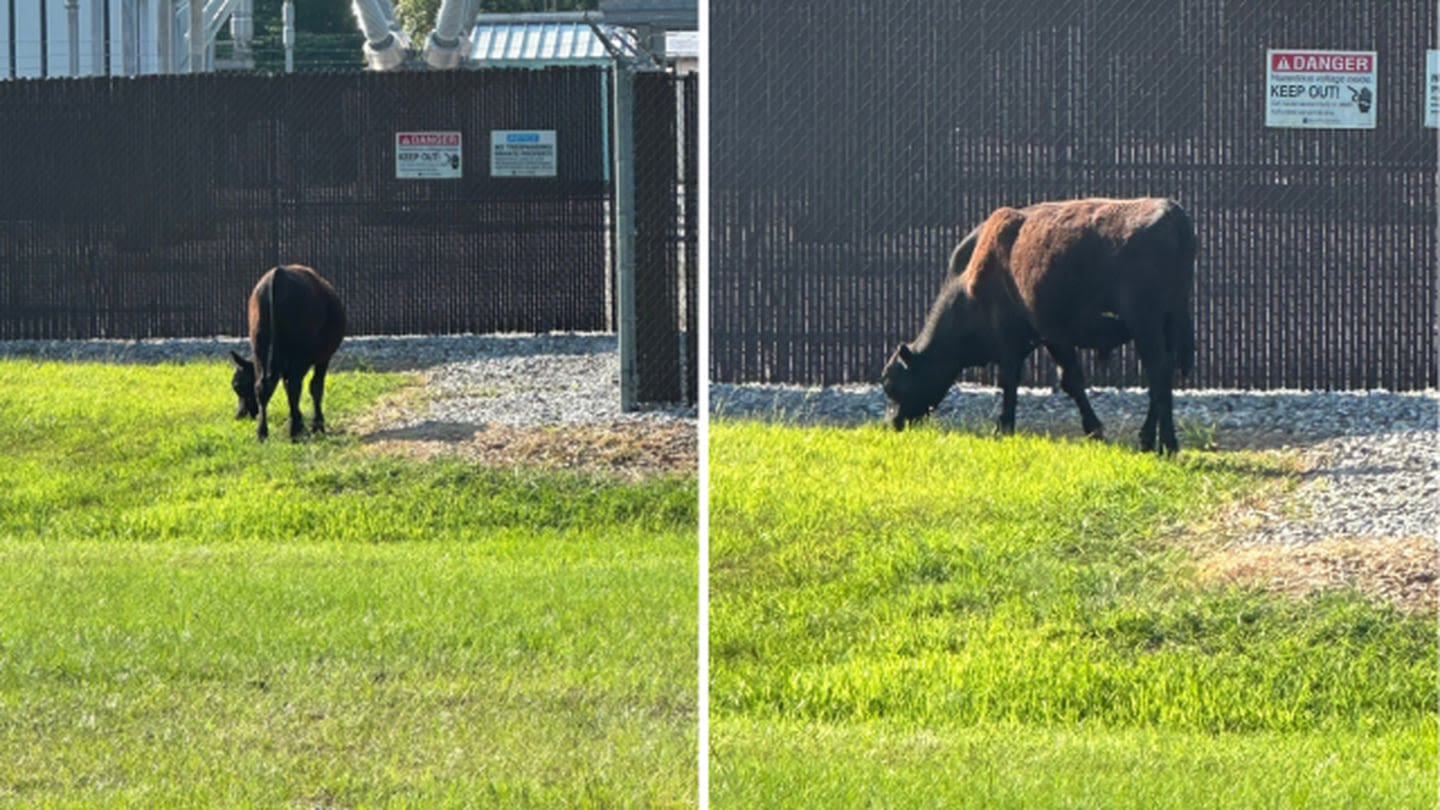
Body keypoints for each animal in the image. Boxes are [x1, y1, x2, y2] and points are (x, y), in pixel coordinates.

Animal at [230, 263, 345, 441]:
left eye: (239, 386)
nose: (240, 415)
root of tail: (278, 274)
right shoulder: (322, 358)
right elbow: (315, 386)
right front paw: (316, 425)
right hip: (300, 354)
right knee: (295, 385)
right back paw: (295, 431)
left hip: (260, 346)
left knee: (263, 386)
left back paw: (262, 433)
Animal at [881, 193, 1198, 449]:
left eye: (891, 385)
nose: (893, 423)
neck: (969, 281)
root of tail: (1171, 211)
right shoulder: (1052, 336)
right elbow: (1072, 380)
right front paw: (1094, 430)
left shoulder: (1011, 339)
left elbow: (1009, 380)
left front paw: (1003, 427)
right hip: (1166, 326)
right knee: (1162, 373)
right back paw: (1147, 439)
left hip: (1145, 325)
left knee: (1158, 370)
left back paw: (1167, 444)